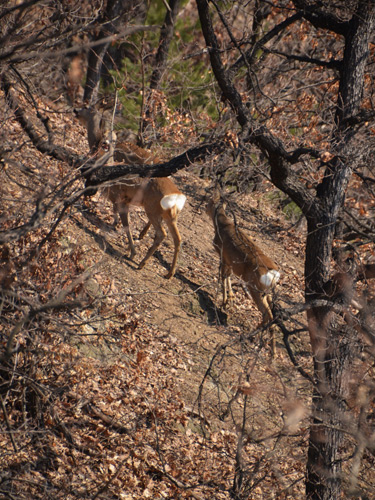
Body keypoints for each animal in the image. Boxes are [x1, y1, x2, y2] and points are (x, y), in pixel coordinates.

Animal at [75, 106, 187, 280]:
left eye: (87, 108)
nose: (75, 110)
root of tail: (176, 197)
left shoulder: (120, 199)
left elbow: (125, 224)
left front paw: (131, 251)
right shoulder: (122, 200)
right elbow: (117, 215)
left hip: (152, 209)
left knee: (162, 234)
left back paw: (142, 262)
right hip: (170, 216)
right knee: (177, 238)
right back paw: (169, 273)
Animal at [207, 192, 280, 356]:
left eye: (208, 200)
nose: (204, 207)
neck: (221, 224)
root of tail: (274, 275)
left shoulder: (222, 255)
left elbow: (223, 277)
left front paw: (224, 301)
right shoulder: (230, 263)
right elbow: (228, 277)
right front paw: (230, 299)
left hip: (255, 289)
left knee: (267, 314)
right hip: (267, 292)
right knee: (271, 317)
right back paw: (269, 349)